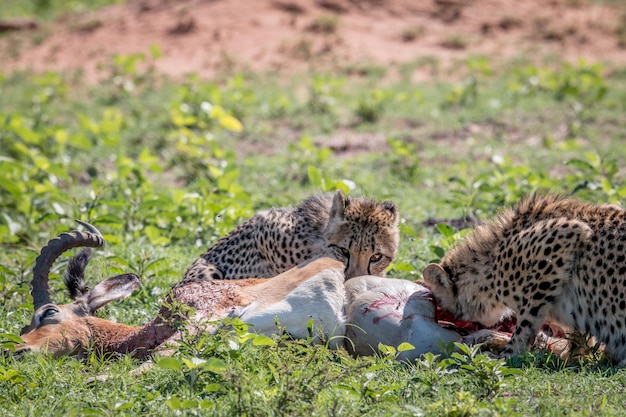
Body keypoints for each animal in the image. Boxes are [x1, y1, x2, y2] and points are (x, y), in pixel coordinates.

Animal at [420, 193, 624, 364]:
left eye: (442, 305)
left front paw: (505, 356)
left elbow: (526, 321)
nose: (450, 319)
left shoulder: (565, 235)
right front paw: (571, 356)